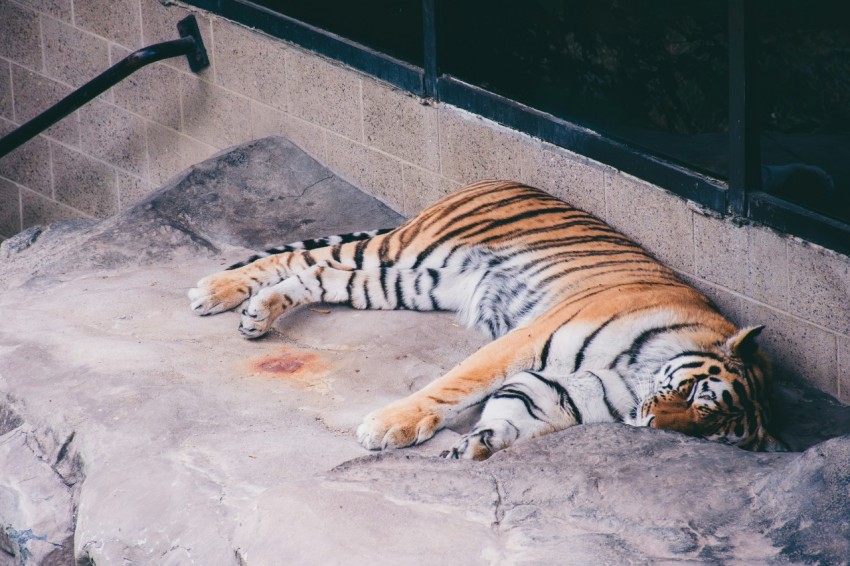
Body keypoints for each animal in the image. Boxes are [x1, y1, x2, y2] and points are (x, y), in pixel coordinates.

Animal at [189, 182, 784, 462]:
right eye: (696, 395)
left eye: (708, 434)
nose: (654, 425)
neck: (636, 377)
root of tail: (497, 180)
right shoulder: (527, 340)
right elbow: (456, 384)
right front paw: (389, 426)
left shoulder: (569, 389)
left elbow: (519, 413)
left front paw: (483, 443)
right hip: (407, 250)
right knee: (303, 258)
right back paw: (214, 292)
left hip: (412, 282)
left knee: (318, 274)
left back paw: (256, 313)